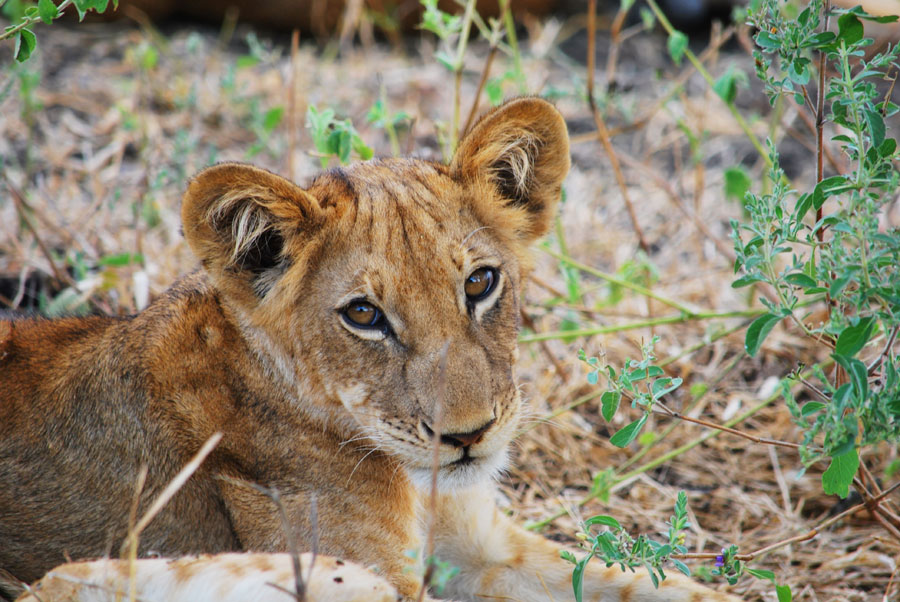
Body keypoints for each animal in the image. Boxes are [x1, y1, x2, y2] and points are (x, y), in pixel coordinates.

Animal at [0, 98, 736, 601]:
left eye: (480, 282)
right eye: (364, 315)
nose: (466, 437)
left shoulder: (483, 547)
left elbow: (657, 585)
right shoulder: (374, 568)